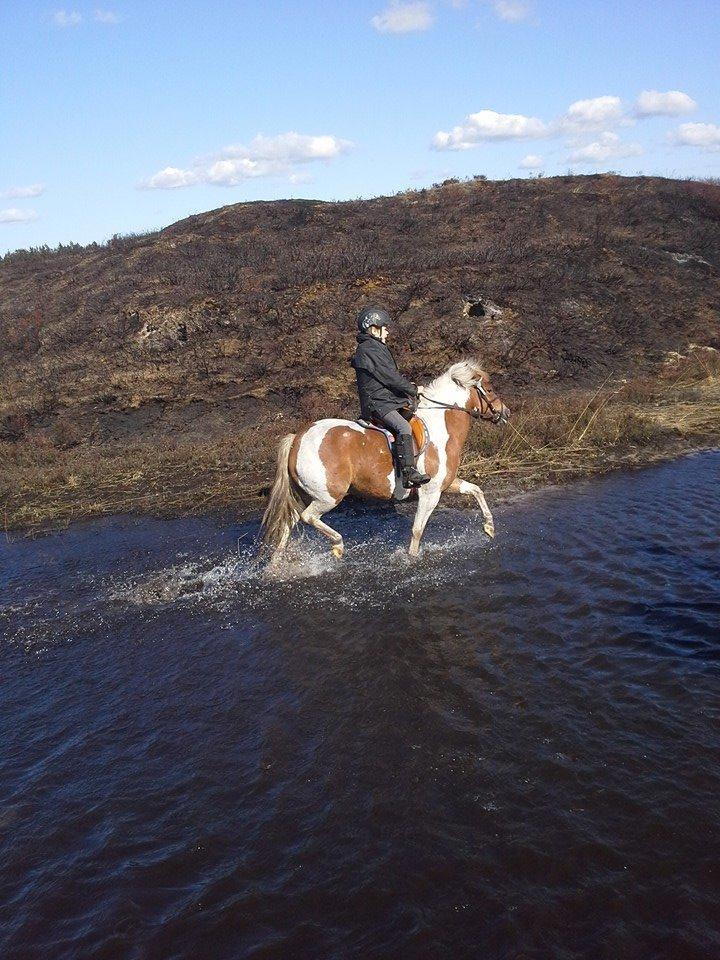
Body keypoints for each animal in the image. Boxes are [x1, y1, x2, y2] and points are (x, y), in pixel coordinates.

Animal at [262, 358, 510, 564]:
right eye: (489, 389)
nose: (505, 412)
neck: (441, 426)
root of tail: (297, 438)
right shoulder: (430, 493)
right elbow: (417, 530)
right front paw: (411, 559)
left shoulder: (445, 484)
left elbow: (476, 490)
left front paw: (489, 528)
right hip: (328, 496)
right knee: (308, 517)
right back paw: (338, 545)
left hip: (305, 494)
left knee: (288, 523)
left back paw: (276, 566)